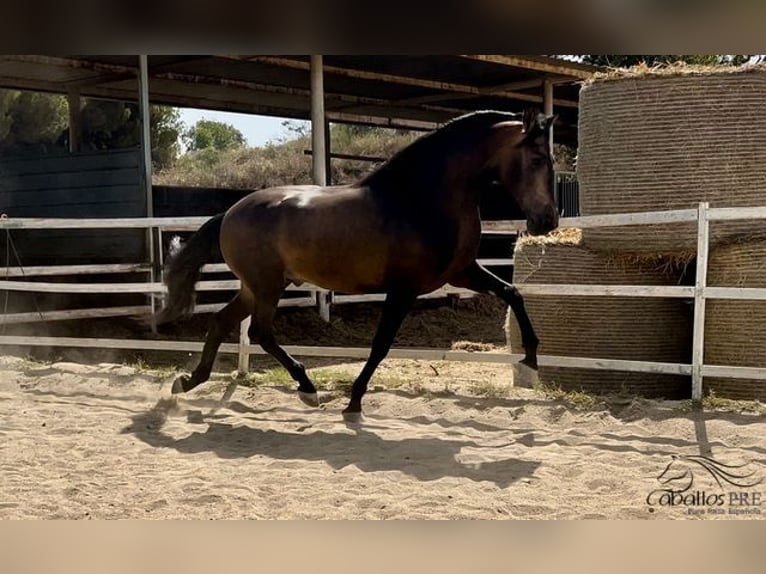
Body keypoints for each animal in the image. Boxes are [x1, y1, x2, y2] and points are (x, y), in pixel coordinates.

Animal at [154, 109, 560, 424]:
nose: (547, 221)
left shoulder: (461, 272)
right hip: (267, 286)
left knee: (222, 322)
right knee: (259, 332)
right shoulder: (404, 289)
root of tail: (229, 213)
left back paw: (187, 382)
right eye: (538, 160)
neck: (422, 199)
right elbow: (380, 345)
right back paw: (307, 389)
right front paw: (353, 401)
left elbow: (512, 292)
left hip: (256, 288)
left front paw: (530, 360)